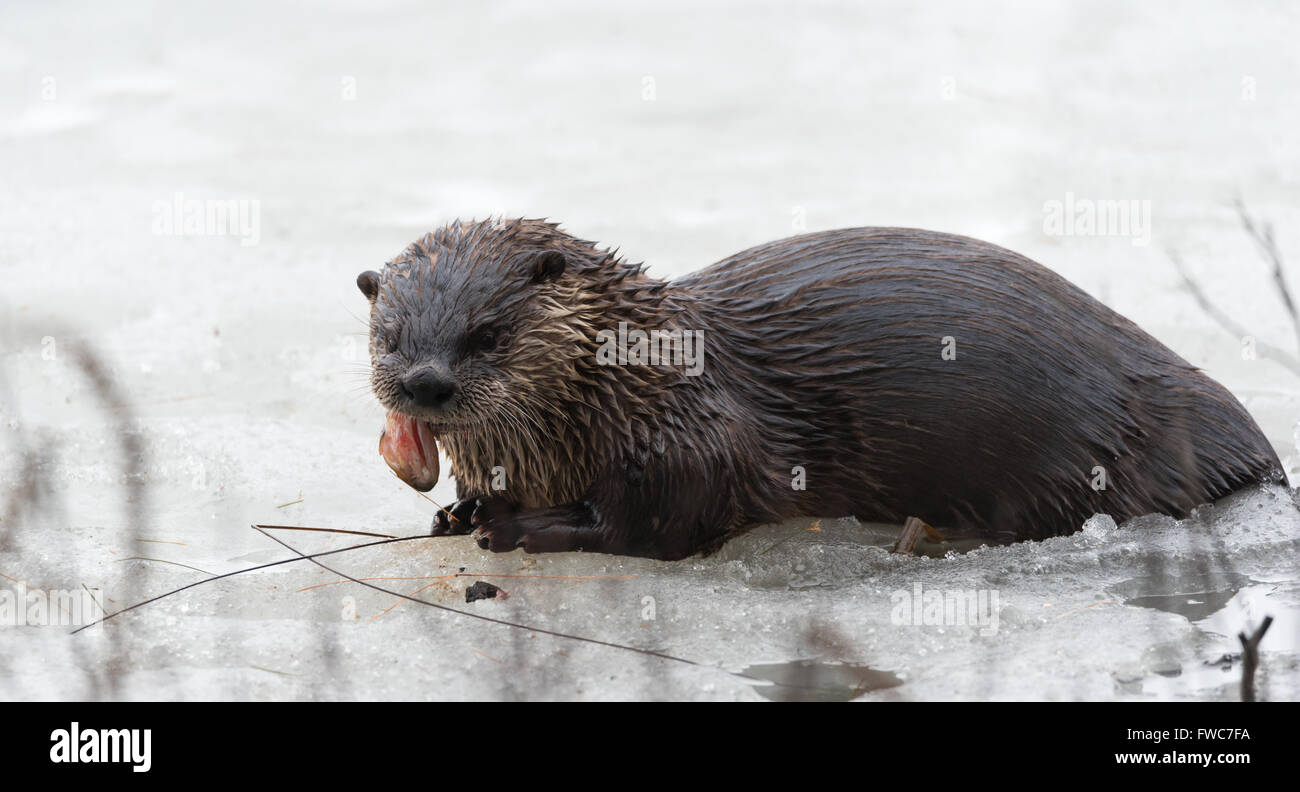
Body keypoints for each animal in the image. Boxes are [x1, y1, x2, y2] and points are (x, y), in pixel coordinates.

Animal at [361, 219, 1284, 559]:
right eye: (391, 336)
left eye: (486, 333)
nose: (425, 384)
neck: (627, 385)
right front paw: (459, 511)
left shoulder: (688, 437)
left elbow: (656, 525)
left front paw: (517, 526)